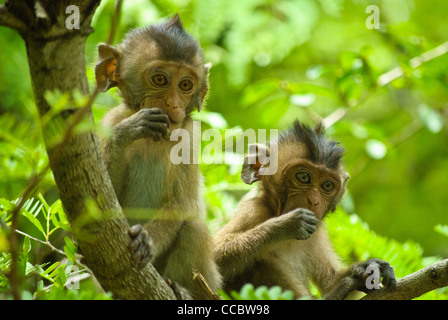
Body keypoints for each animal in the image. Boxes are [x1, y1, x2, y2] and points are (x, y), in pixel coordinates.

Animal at [214, 121, 396, 298]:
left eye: (327, 185)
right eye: (303, 177)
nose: (314, 201)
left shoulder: (318, 232)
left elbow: (331, 280)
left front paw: (368, 269)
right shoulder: (254, 211)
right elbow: (215, 257)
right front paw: (287, 225)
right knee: (262, 259)